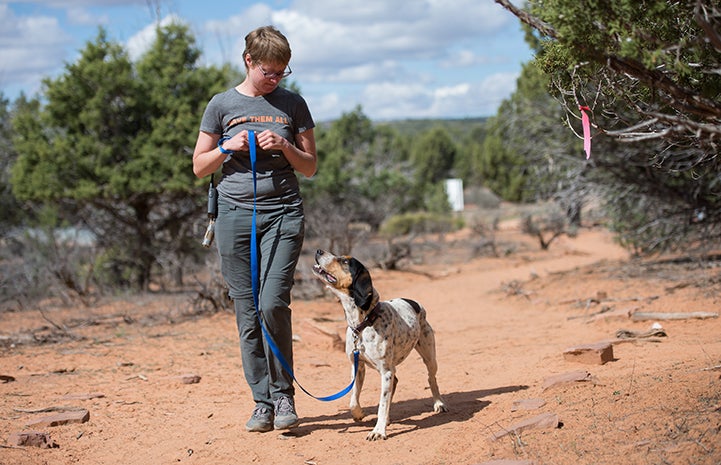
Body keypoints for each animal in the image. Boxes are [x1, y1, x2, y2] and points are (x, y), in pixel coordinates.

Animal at [312, 248, 448, 440]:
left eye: (345, 261)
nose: (318, 250)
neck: (363, 323)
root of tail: (415, 303)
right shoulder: (358, 366)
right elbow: (353, 399)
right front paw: (359, 414)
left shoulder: (386, 371)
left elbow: (382, 404)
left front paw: (378, 430)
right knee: (396, 383)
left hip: (429, 356)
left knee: (431, 378)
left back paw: (438, 403)